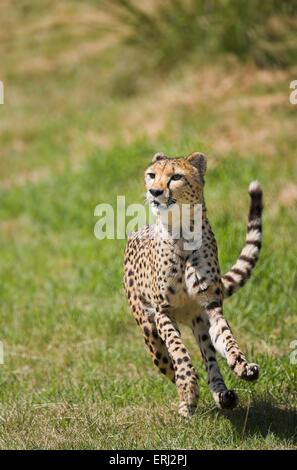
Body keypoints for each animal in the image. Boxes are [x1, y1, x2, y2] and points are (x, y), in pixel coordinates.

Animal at [122, 152, 262, 416]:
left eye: (176, 177)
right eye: (152, 175)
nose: (155, 191)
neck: (181, 231)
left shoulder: (211, 306)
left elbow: (227, 338)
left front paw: (241, 365)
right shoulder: (163, 311)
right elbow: (178, 351)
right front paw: (187, 386)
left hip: (199, 323)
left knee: (209, 356)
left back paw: (222, 394)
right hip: (149, 333)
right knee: (167, 362)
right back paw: (186, 398)